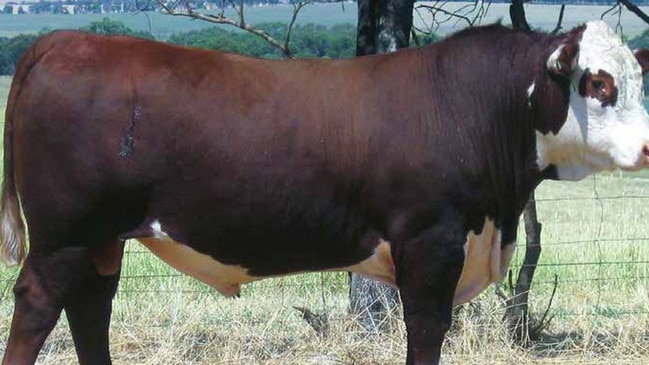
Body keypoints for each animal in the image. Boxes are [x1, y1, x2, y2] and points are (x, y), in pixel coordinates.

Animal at [1, 21, 648, 362]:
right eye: (597, 82)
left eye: (638, 80)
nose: (647, 147)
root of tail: (63, 40)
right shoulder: (431, 245)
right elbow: (426, 330)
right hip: (64, 235)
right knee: (38, 303)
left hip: (102, 239)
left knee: (90, 308)